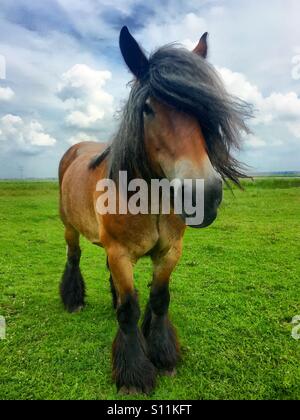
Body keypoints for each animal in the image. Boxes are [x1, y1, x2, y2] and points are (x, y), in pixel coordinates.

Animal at [58, 26, 251, 394]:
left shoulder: (169, 251)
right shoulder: (120, 253)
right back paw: (73, 301)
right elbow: (130, 309)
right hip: (69, 228)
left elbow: (158, 298)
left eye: (203, 108)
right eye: (147, 108)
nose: (202, 194)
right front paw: (134, 373)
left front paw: (162, 354)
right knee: (74, 256)